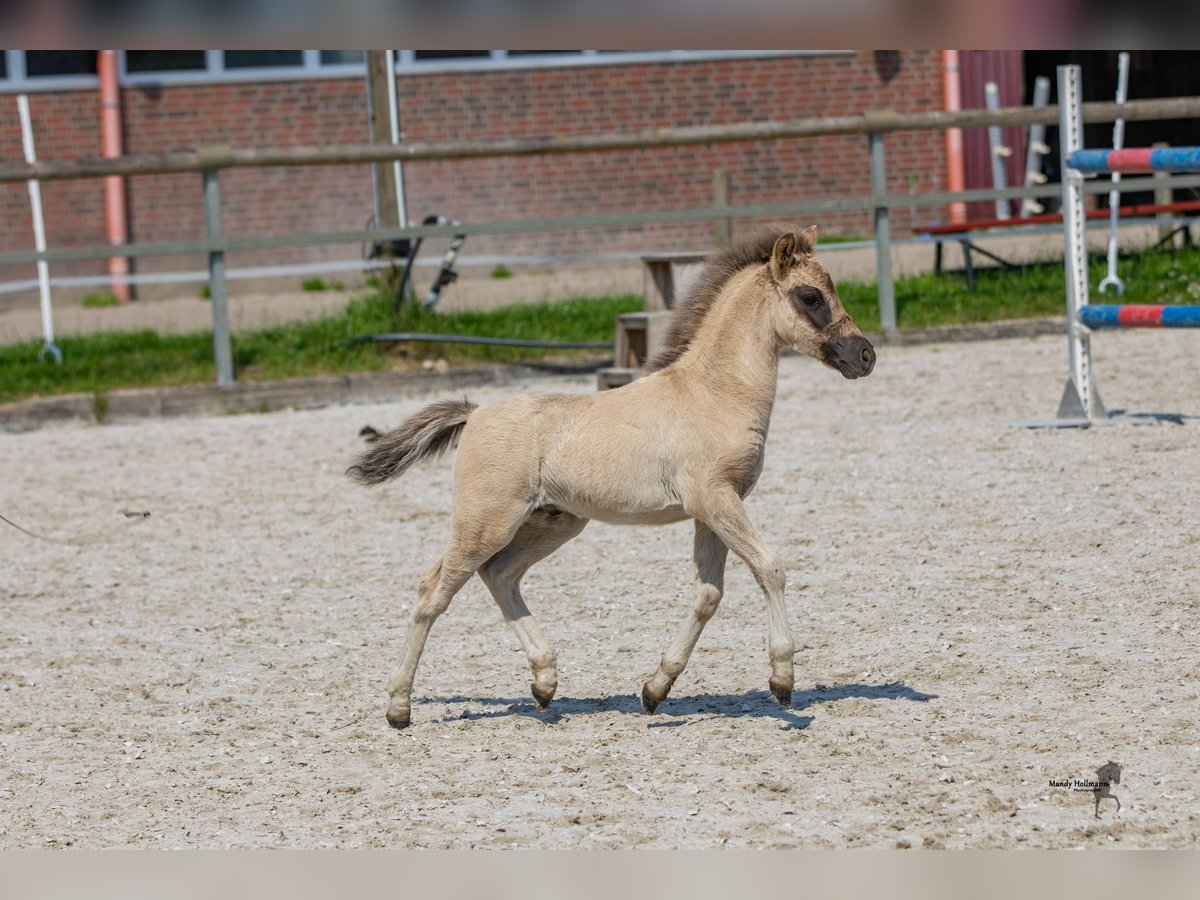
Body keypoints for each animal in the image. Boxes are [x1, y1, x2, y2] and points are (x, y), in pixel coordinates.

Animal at [348, 226, 873, 734]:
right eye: (810, 296)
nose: (865, 355)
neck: (715, 392)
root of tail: (474, 414)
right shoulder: (716, 499)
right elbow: (770, 568)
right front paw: (783, 681)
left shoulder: (712, 510)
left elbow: (708, 595)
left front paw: (655, 689)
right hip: (487, 522)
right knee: (433, 591)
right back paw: (398, 708)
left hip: (553, 522)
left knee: (499, 575)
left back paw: (544, 682)